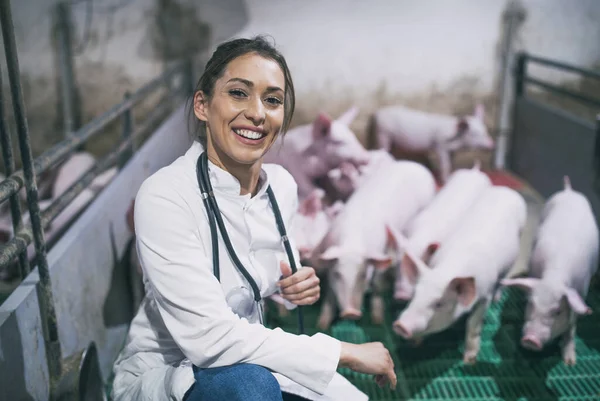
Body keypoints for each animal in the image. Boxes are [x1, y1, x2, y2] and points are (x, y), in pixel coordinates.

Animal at [504, 177, 596, 364]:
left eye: (558, 311)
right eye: (531, 304)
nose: (530, 339)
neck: (554, 278)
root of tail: (569, 190)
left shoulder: (581, 291)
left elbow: (572, 325)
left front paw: (570, 363)